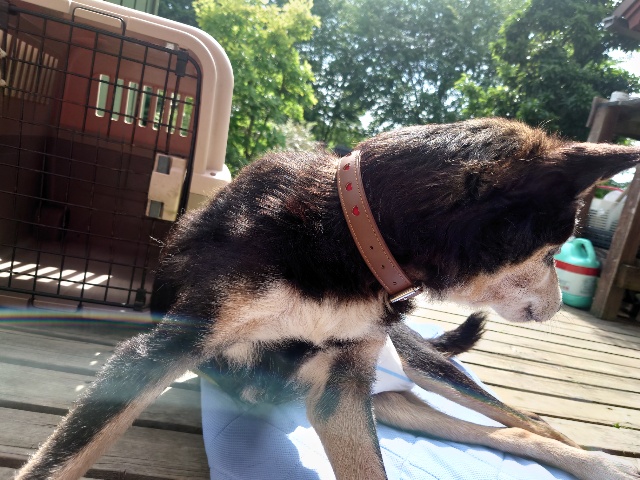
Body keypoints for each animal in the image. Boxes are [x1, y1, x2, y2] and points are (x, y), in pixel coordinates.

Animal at [16, 118, 640, 480]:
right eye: (554, 247)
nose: (558, 307)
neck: (348, 236)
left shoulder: (342, 390)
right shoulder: (163, 350)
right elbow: (63, 457)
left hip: (420, 368)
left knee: (530, 422)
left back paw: (601, 464)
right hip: (391, 400)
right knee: (514, 432)